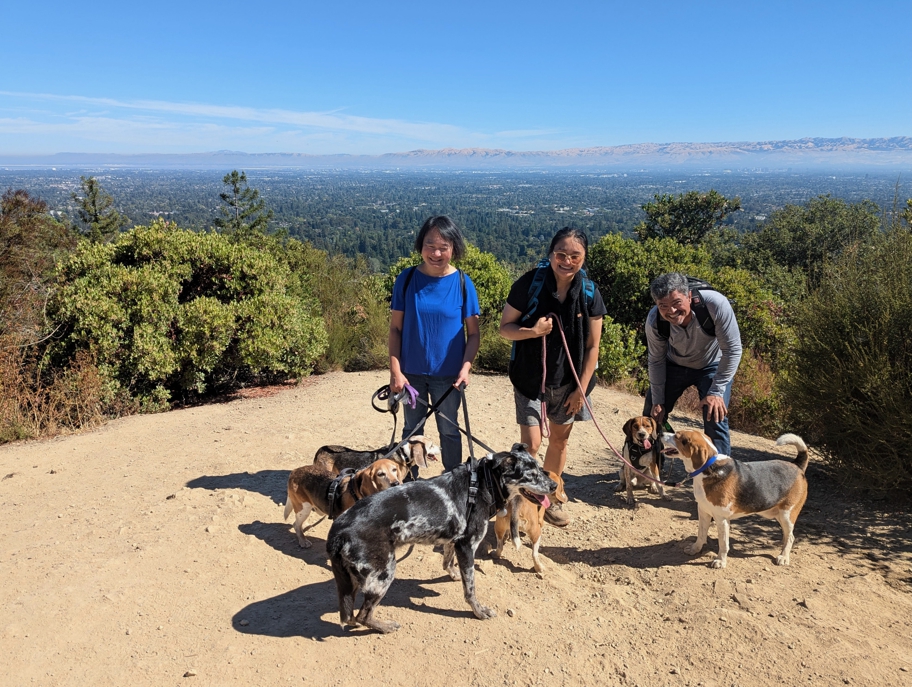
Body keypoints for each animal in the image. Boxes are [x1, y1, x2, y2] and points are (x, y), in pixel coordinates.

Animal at [328, 446, 556, 636]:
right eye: (531, 475)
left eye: (541, 468)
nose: (554, 485)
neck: (485, 482)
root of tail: (338, 530)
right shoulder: (467, 546)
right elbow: (470, 589)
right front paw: (478, 611)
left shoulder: (454, 540)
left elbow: (447, 561)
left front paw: (454, 574)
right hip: (384, 573)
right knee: (362, 615)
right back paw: (385, 627)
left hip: (353, 580)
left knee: (350, 616)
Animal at [664, 430, 804, 568]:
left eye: (677, 436)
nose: (661, 434)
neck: (708, 467)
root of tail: (797, 465)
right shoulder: (703, 512)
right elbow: (701, 534)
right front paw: (695, 549)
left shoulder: (722, 519)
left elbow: (723, 544)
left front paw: (720, 561)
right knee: (787, 536)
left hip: (786, 515)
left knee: (791, 537)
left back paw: (784, 557)